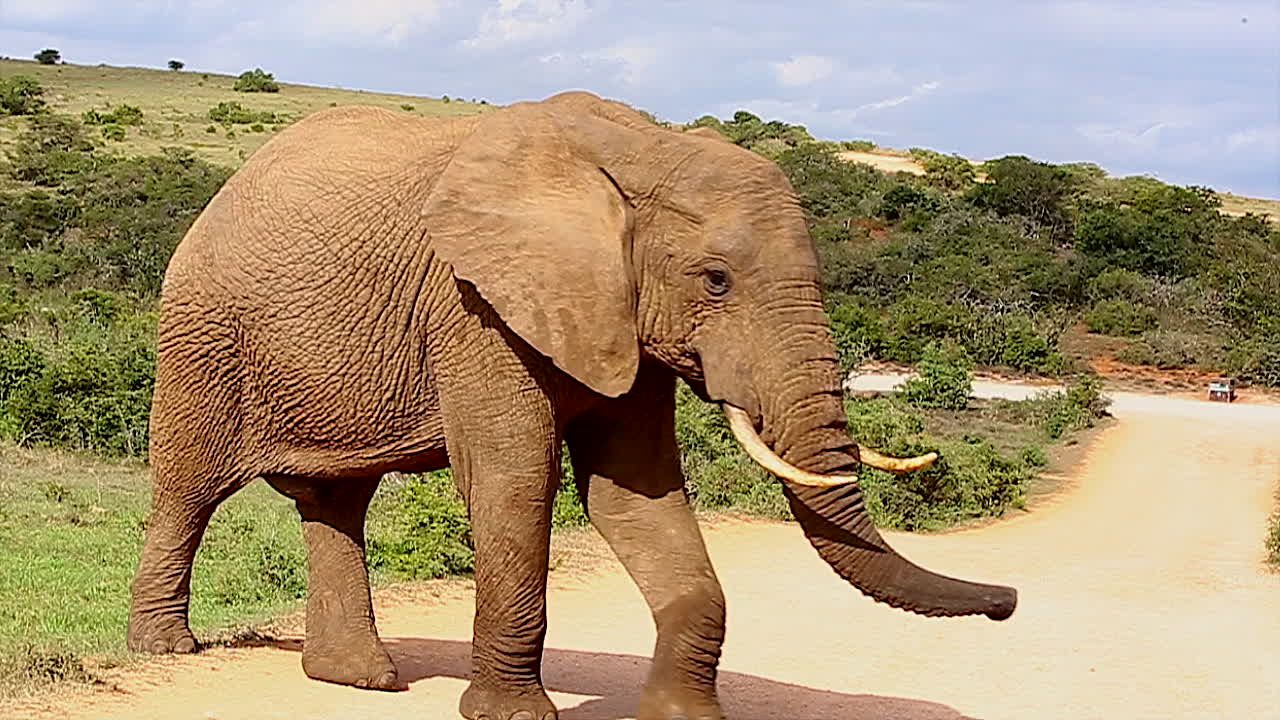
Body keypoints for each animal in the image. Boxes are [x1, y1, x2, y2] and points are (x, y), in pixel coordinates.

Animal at [126, 90, 1016, 720]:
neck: (647, 149)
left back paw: (360, 680)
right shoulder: (474, 304)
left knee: (336, 502)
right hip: (202, 331)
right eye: (716, 280)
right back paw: (167, 649)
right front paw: (513, 716)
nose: (1008, 603)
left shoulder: (625, 321)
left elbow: (635, 491)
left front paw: (684, 719)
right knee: (188, 489)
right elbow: (515, 479)